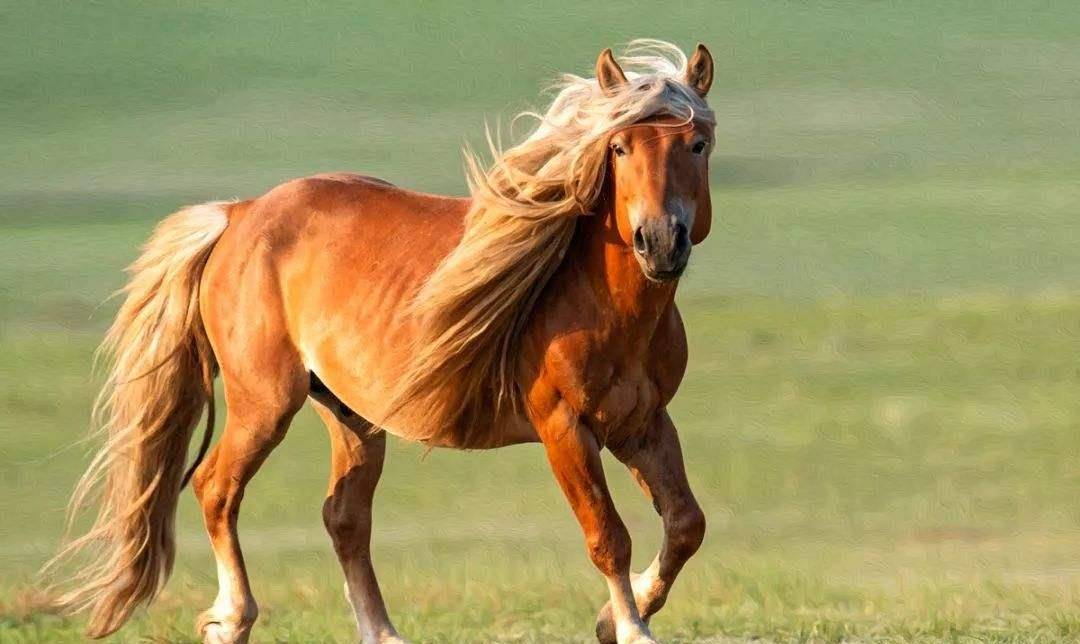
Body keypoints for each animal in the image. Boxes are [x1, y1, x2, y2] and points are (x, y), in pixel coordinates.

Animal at [45, 40, 716, 644]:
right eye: (619, 146)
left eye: (698, 144)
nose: (660, 241)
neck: (603, 303)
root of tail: (239, 214)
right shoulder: (565, 429)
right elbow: (608, 537)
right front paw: (631, 629)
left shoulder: (641, 423)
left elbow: (686, 523)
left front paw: (614, 618)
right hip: (266, 402)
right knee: (217, 487)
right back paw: (231, 620)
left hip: (351, 415)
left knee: (344, 517)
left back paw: (382, 633)